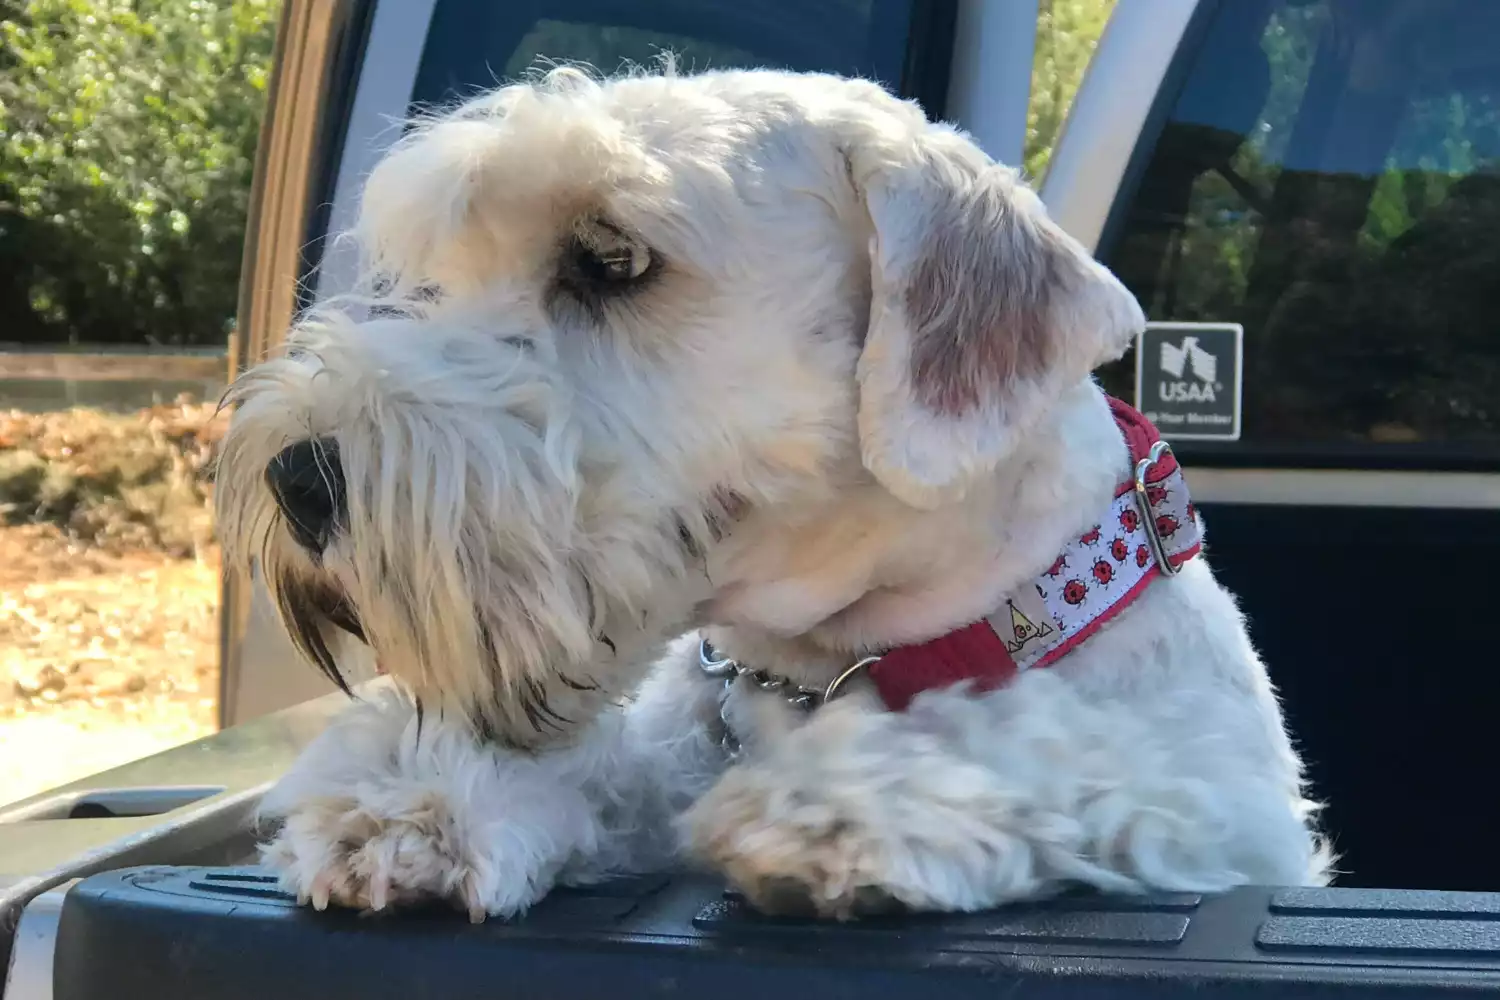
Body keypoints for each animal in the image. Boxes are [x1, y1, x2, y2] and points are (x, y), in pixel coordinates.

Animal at [217, 62, 1332, 923]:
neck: (821, 668)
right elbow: (609, 766)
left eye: (611, 258)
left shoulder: (1233, 814)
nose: (296, 477)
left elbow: (1077, 752)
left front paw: (842, 802)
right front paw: (414, 802)